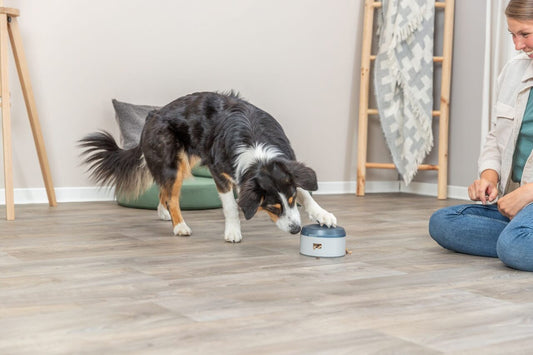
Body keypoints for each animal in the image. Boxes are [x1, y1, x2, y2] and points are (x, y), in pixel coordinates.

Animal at [79, 91, 334, 242]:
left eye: (290, 202)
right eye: (272, 207)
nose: (296, 230)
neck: (256, 148)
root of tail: (153, 114)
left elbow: (304, 192)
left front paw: (323, 214)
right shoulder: (219, 172)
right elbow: (230, 205)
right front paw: (233, 231)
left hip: (182, 164)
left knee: (164, 191)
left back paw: (163, 213)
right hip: (174, 164)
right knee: (171, 196)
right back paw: (180, 226)